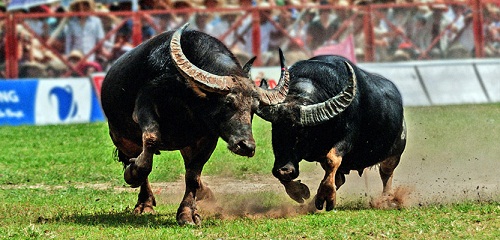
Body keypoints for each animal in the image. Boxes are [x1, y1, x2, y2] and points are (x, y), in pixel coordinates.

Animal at [99, 24, 290, 225]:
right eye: (228, 103)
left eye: (253, 109)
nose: (246, 146)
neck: (188, 95)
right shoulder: (145, 105)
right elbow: (151, 140)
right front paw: (133, 173)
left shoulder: (207, 138)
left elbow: (193, 174)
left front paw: (187, 213)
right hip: (123, 139)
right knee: (134, 157)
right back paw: (144, 203)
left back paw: (204, 193)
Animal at [258, 54, 406, 210]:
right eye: (276, 131)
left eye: (302, 133)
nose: (284, 170)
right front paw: (300, 192)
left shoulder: (346, 140)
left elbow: (332, 160)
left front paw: (327, 197)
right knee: (340, 178)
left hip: (394, 153)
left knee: (386, 173)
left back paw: (386, 200)